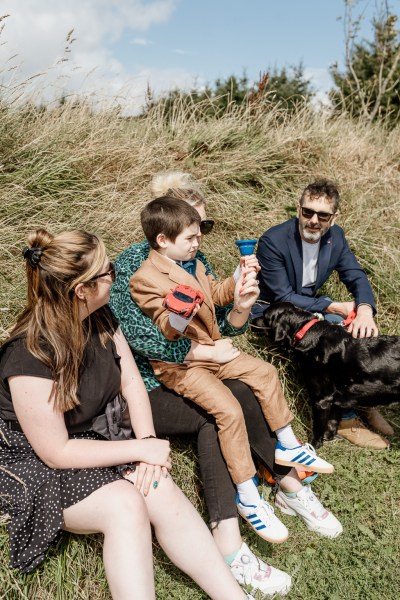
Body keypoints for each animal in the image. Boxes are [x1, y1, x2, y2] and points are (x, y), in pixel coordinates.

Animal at [260, 302, 398, 448]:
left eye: (264, 316)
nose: (253, 320)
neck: (306, 331)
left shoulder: (321, 400)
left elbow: (318, 429)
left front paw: (313, 447)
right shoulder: (337, 398)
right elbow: (333, 421)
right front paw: (329, 436)